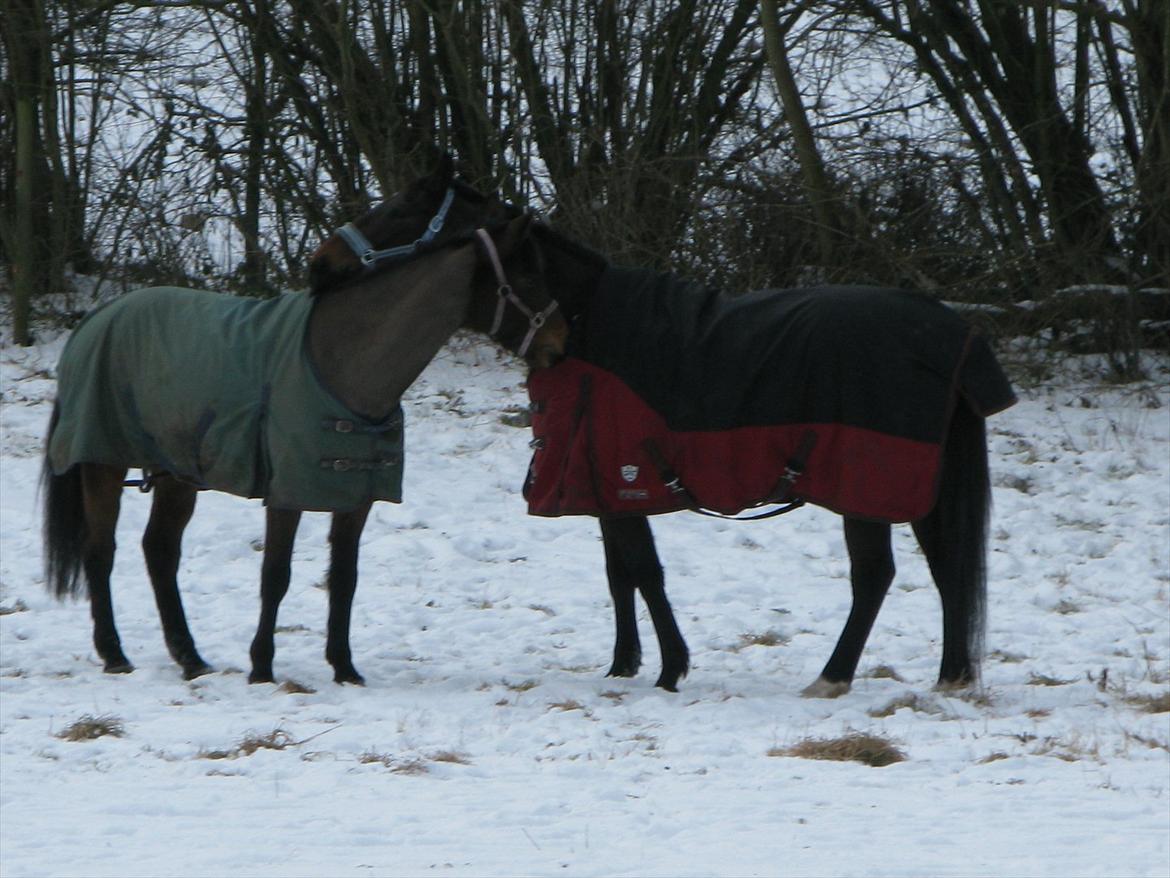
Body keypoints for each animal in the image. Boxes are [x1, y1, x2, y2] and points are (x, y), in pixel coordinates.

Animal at [36, 165, 531, 688]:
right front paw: (262, 668)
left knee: (160, 550)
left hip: (177, 472)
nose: (320, 262)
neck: (342, 360)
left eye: (400, 210)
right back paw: (115, 654)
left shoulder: (356, 498)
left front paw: (344, 668)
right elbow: (275, 575)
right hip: (102, 462)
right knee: (100, 551)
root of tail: (94, 321)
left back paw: (190, 658)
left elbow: (344, 577)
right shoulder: (285, 493)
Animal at [311, 187, 1015, 702]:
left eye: (401, 209)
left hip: (865, 488)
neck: (587, 327)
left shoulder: (622, 476)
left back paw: (832, 676)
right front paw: (624, 663)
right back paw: (951, 677)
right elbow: (619, 573)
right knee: (948, 568)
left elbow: (644, 571)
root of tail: (954, 334)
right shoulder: (600, 481)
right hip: (921, 486)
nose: (321, 265)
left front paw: (671, 667)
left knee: (875, 577)